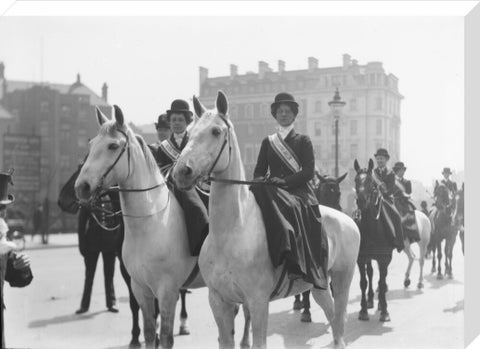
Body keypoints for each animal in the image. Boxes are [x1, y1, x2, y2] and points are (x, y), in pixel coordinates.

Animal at [74, 106, 249, 348]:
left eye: (113, 146)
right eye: (91, 145)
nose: (81, 187)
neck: (149, 224)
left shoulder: (167, 290)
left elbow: (165, 336)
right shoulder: (140, 288)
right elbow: (149, 332)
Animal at [354, 159, 396, 322]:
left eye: (371, 182)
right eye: (355, 180)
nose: (361, 201)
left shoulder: (384, 258)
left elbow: (382, 282)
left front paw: (384, 311)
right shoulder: (361, 258)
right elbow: (363, 282)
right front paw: (363, 310)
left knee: (379, 279)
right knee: (371, 274)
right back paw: (371, 300)